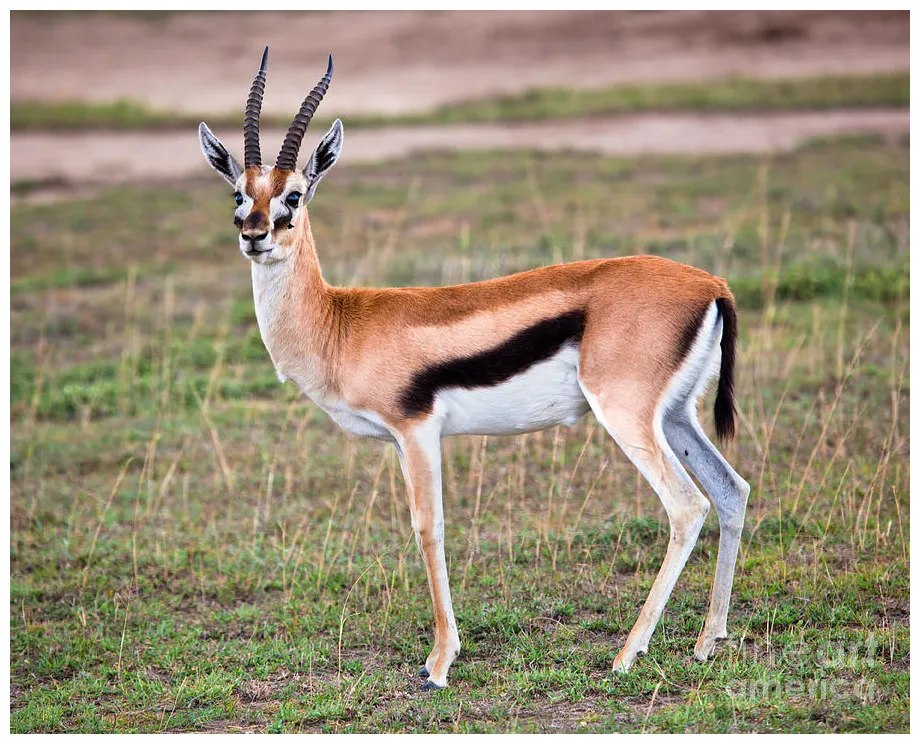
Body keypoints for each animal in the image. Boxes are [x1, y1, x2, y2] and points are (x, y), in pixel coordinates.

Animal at [198, 48, 750, 691]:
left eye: (295, 194)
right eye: (239, 193)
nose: (254, 234)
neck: (341, 322)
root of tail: (711, 283)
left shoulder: (415, 432)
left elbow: (428, 528)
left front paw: (439, 663)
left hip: (626, 414)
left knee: (687, 506)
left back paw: (626, 654)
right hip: (677, 415)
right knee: (731, 490)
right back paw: (708, 641)